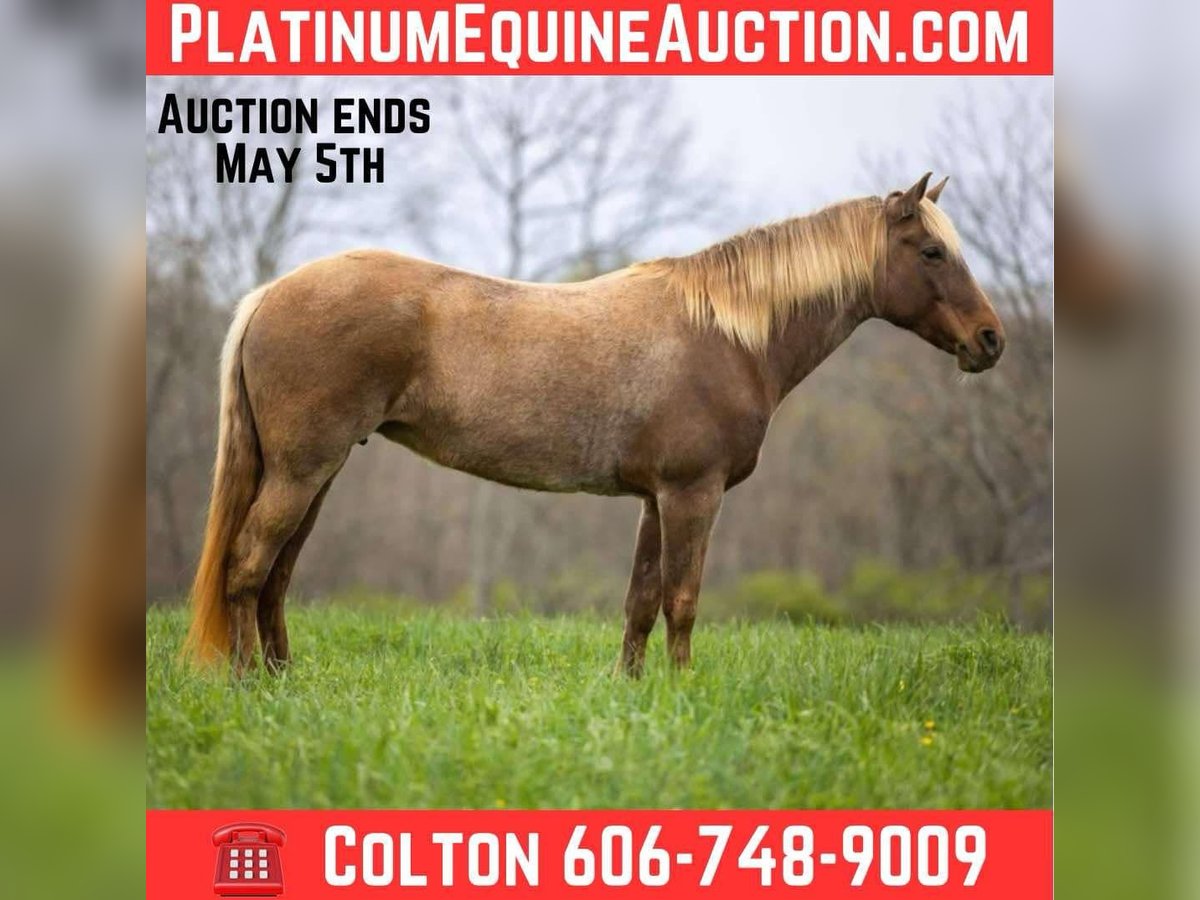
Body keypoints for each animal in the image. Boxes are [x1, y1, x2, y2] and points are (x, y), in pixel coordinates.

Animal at [183, 173, 1005, 677]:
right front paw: (681, 692)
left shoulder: (653, 501)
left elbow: (640, 601)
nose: (991, 340)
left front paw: (633, 690)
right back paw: (252, 682)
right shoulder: (692, 494)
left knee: (275, 575)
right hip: (303, 470)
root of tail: (268, 294)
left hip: (316, 473)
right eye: (932, 250)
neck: (730, 333)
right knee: (249, 567)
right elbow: (682, 600)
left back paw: (282, 678)